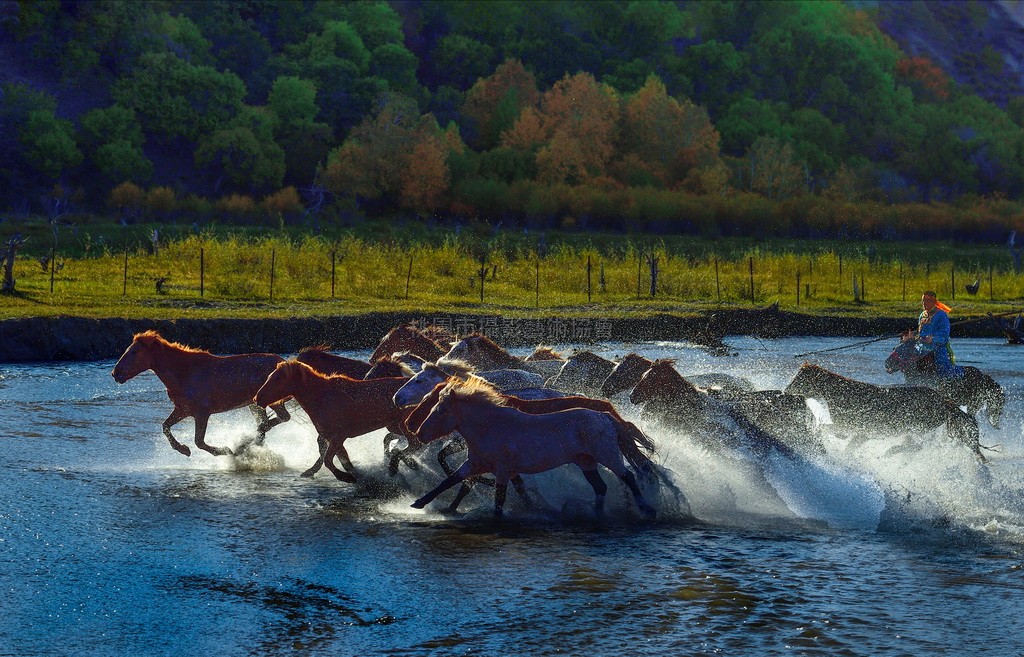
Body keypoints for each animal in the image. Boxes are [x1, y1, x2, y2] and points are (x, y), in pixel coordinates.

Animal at [111, 330, 291, 457]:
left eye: (134, 352)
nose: (115, 373)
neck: (185, 373)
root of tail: (282, 362)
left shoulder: (202, 413)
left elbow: (199, 441)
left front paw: (225, 450)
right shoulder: (183, 410)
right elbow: (165, 426)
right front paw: (183, 449)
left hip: (271, 401)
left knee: (282, 418)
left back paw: (245, 442)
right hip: (255, 404)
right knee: (267, 423)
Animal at [410, 378, 658, 519]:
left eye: (440, 409)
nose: (418, 432)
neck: (491, 426)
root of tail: (605, 416)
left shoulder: (502, 470)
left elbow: (499, 499)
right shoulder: (475, 464)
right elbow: (450, 481)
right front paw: (420, 503)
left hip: (608, 456)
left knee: (628, 477)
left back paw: (647, 509)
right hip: (587, 462)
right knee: (601, 487)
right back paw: (597, 514)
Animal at [785, 362, 985, 461]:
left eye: (799, 378)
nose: (785, 391)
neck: (844, 394)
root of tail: (944, 401)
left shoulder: (857, 430)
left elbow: (828, 430)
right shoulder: (862, 435)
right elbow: (848, 446)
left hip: (917, 428)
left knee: (917, 446)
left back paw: (889, 452)